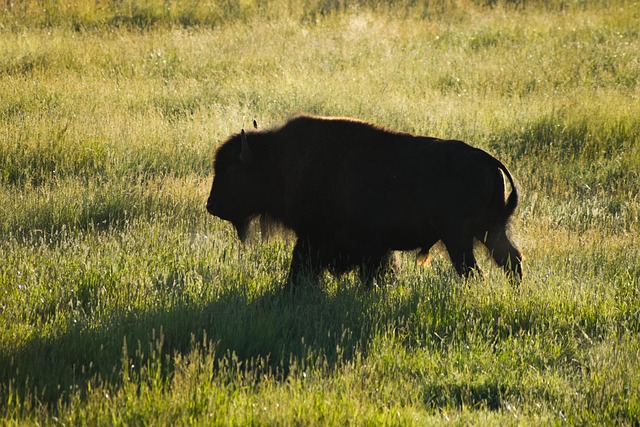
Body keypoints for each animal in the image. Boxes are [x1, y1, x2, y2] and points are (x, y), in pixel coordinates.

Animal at [206, 115, 523, 287]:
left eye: (232, 170)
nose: (211, 206)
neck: (276, 161)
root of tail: (487, 160)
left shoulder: (318, 238)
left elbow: (302, 267)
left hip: (459, 238)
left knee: (473, 270)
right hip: (489, 231)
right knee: (511, 259)